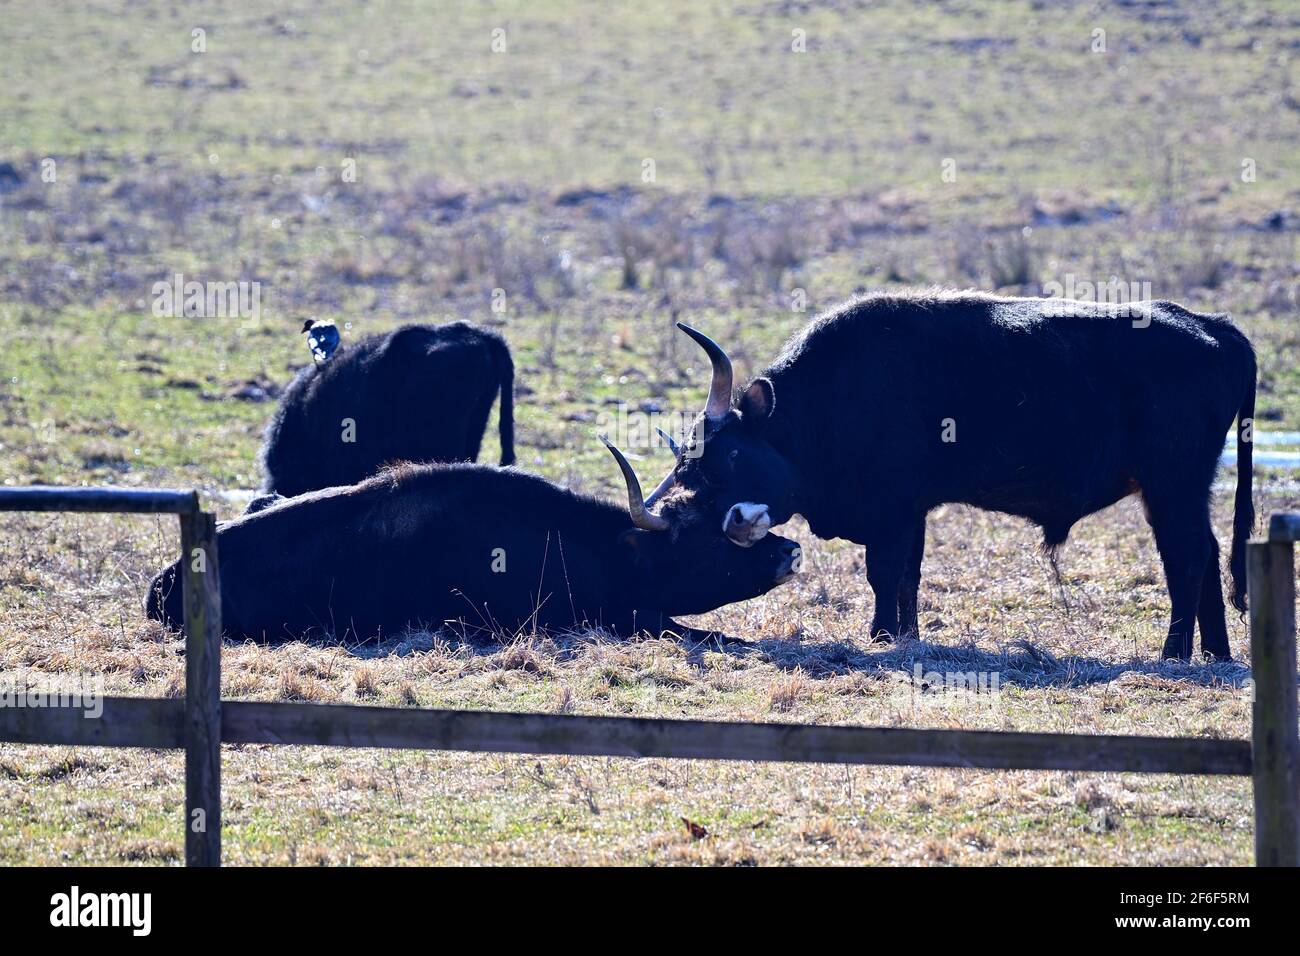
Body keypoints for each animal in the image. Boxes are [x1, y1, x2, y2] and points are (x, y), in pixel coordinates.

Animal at [650, 291, 1258, 660]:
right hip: (1181, 490)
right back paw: (1215, 653)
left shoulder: (892, 511)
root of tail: (1209, 326)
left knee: (1187, 557)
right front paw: (907, 637)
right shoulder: (913, 511)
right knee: (1204, 553)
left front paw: (882, 637)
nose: (735, 521)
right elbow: (907, 578)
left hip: (1171, 485)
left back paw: (1174, 653)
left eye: (732, 453)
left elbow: (883, 574)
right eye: (693, 466)